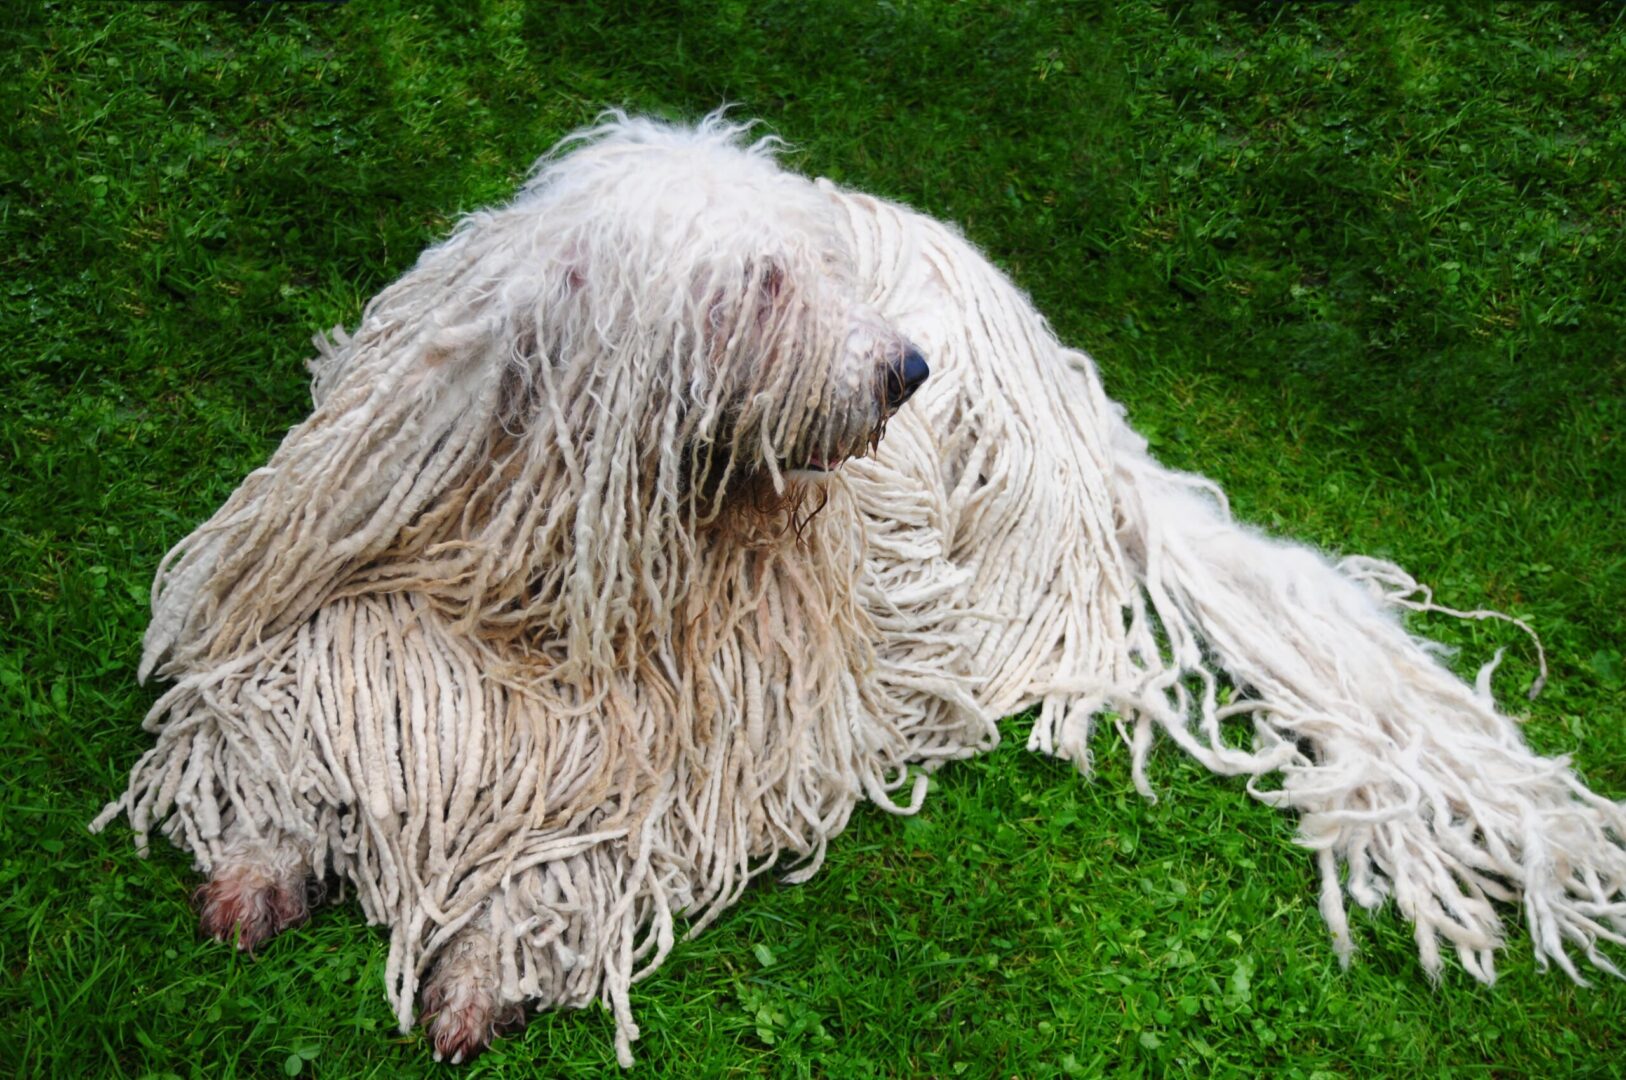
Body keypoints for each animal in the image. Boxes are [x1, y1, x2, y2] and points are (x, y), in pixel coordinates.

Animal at [92, 111, 1626, 1060]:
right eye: (762, 287)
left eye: (815, 271)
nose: (903, 370)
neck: (543, 579)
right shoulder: (340, 602)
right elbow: (287, 700)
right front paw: (263, 852)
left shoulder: (689, 748)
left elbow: (592, 850)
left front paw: (489, 963)